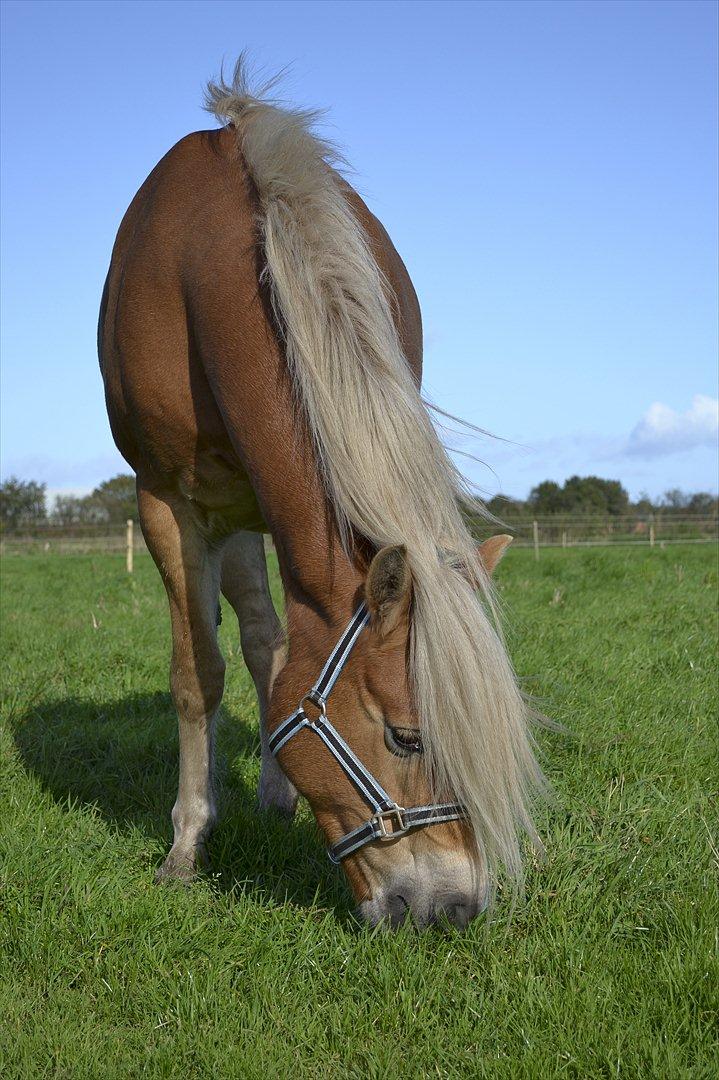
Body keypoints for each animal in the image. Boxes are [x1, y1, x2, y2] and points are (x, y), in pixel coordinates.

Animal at [98, 63, 539, 928]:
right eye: (405, 738)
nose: (454, 907)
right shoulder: (166, 503)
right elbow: (196, 674)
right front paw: (185, 846)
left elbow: (271, 656)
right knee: (254, 638)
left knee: (269, 642)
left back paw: (275, 794)